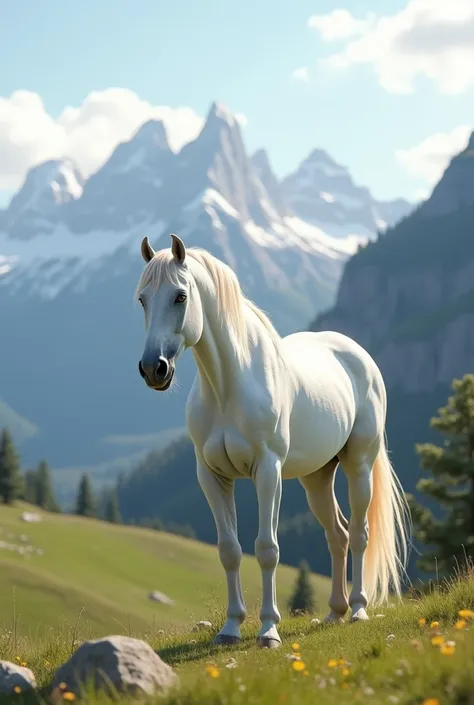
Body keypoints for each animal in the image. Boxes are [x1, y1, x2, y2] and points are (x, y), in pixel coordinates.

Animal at [135, 234, 410, 648]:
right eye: (142, 299)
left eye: (180, 296)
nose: (154, 369)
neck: (229, 387)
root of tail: (358, 355)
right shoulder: (212, 476)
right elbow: (229, 551)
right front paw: (231, 628)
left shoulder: (267, 471)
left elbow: (267, 549)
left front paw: (268, 630)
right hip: (316, 478)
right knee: (338, 535)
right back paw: (334, 611)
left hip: (358, 466)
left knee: (360, 534)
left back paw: (358, 609)